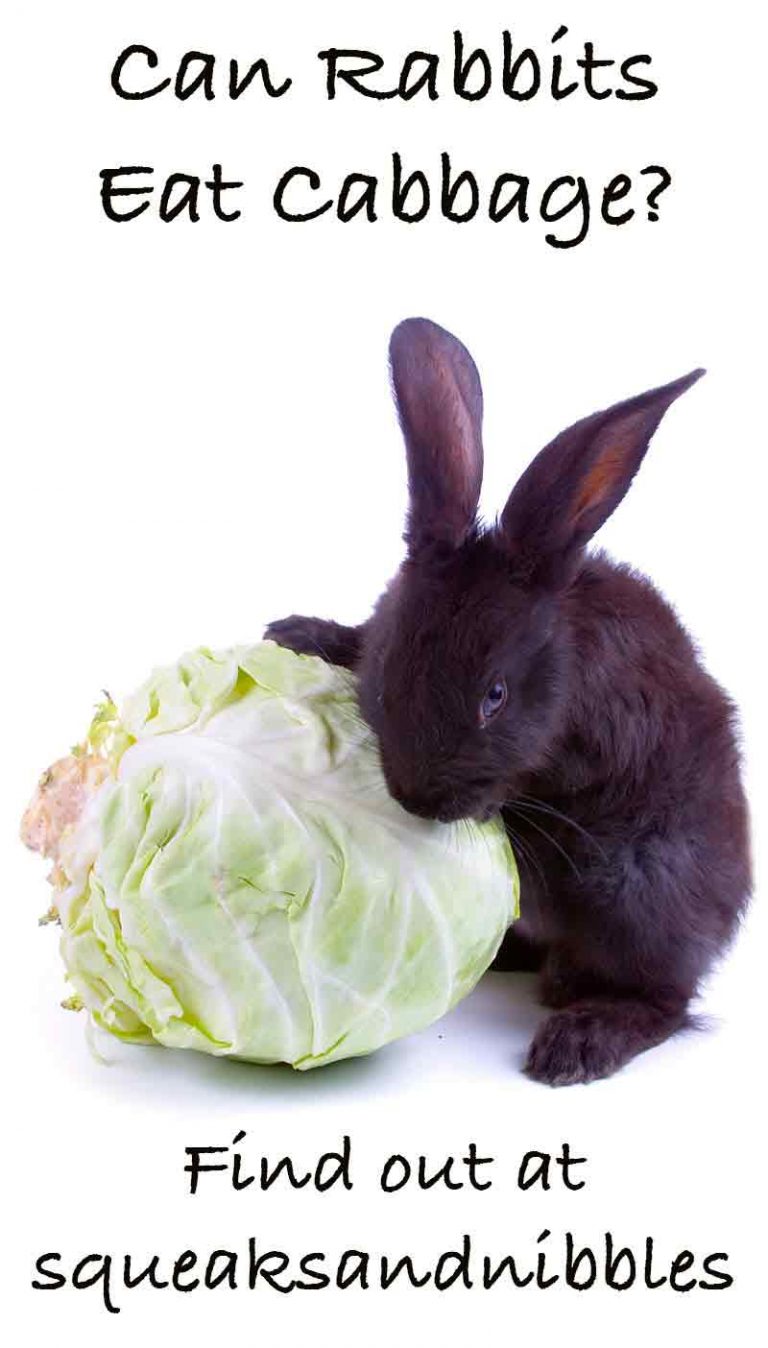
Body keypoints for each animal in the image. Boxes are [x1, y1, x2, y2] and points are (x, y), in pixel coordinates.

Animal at [266, 318, 751, 1086]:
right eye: (387, 669)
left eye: (494, 695)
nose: (417, 800)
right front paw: (295, 634)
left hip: (639, 891)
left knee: (665, 998)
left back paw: (577, 1039)